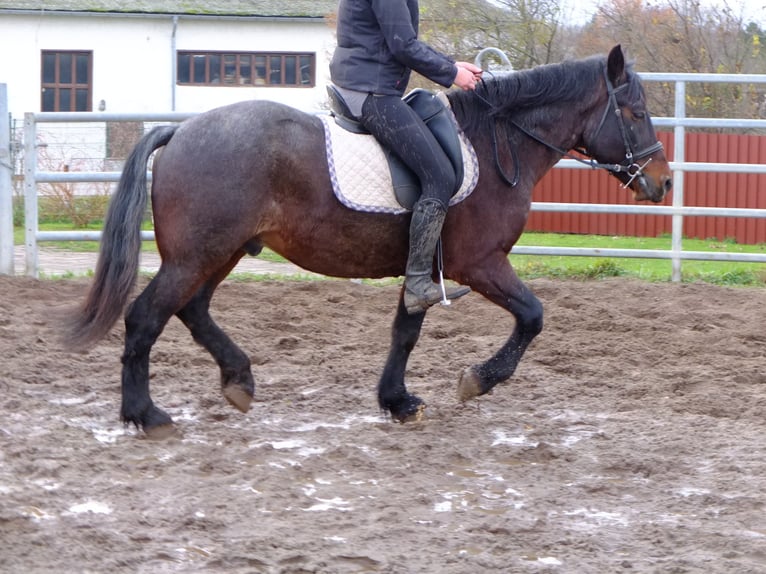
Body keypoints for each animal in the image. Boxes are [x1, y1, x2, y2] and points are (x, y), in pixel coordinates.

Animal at [69, 46, 676, 440]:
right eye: (636, 112)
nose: (664, 182)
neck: (495, 142)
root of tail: (182, 130)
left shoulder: (423, 270)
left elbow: (405, 331)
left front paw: (397, 401)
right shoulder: (479, 263)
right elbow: (532, 316)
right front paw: (477, 381)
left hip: (219, 253)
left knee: (192, 310)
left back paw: (238, 380)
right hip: (197, 254)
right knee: (146, 317)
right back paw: (146, 415)